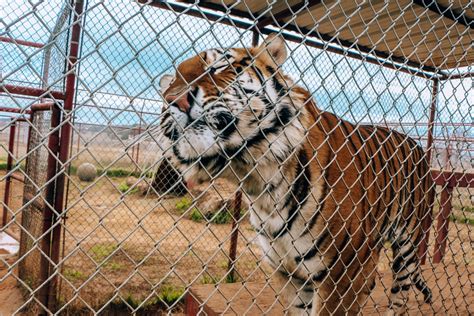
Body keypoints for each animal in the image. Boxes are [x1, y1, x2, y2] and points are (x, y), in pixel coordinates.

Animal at [158, 33, 434, 314]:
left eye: (219, 66)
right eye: (170, 84)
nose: (172, 100)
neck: (260, 184)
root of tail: (417, 146)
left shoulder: (344, 275)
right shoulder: (290, 273)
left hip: (408, 244)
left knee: (401, 294)